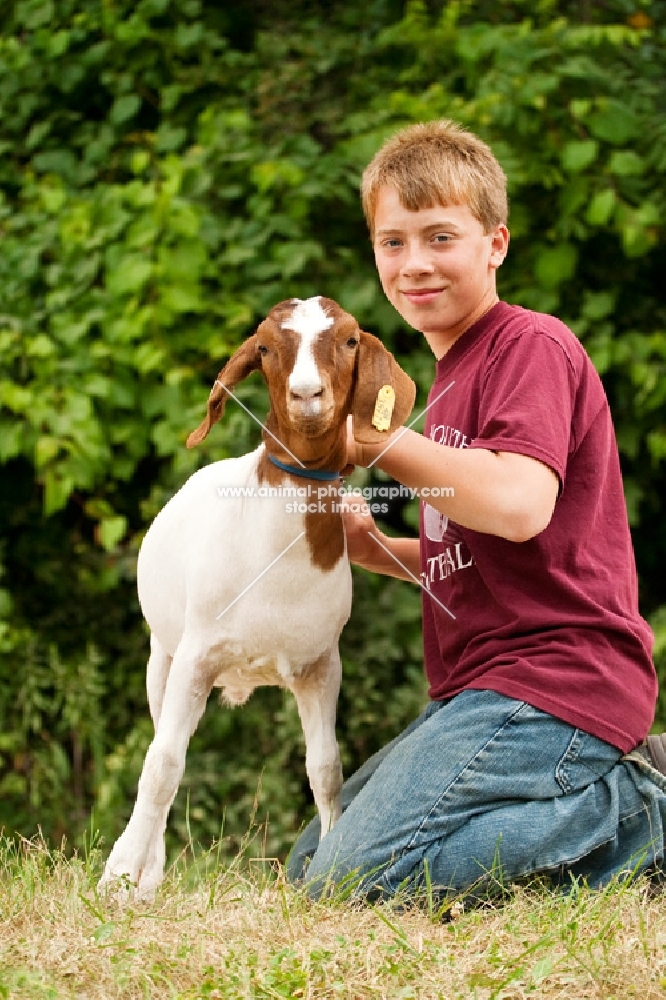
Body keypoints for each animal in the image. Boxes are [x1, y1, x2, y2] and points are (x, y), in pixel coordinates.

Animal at [97, 296, 416, 900]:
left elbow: (325, 768)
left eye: (349, 340)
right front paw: (121, 878)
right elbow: (162, 764)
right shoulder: (195, 654)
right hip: (161, 657)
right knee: (161, 747)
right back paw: (148, 873)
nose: (307, 395)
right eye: (265, 348)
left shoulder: (322, 665)